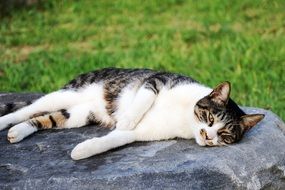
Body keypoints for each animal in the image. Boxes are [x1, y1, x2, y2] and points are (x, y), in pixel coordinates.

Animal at [0, 67, 262, 160]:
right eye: (209, 119)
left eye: (225, 135)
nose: (208, 137)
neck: (185, 118)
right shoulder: (157, 79)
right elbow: (145, 97)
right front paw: (127, 119)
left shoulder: (141, 134)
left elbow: (112, 140)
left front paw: (81, 151)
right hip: (69, 93)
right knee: (28, 108)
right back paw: (5, 122)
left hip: (80, 114)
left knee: (47, 117)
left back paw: (17, 132)